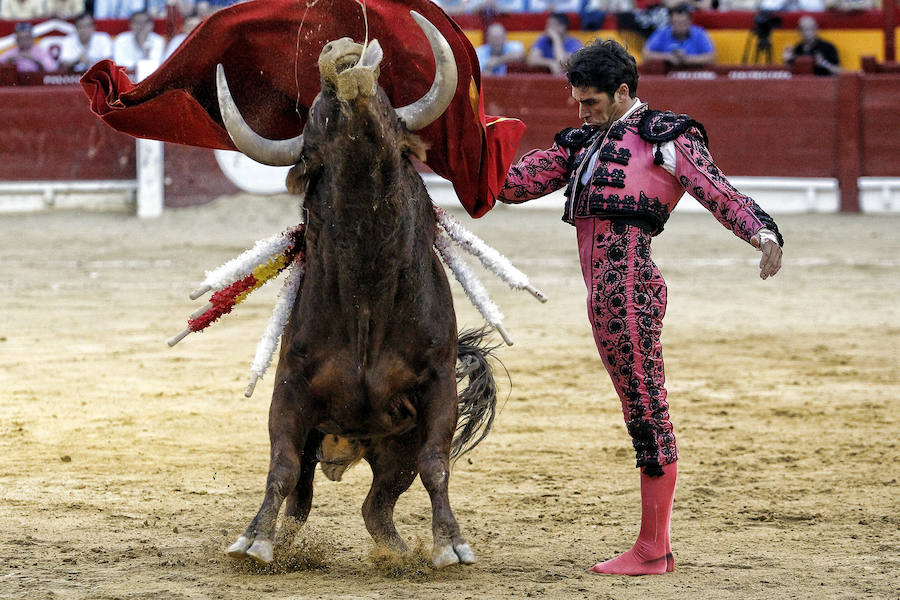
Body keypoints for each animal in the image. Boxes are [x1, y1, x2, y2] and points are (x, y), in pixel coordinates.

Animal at [216, 11, 500, 568]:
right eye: (321, 116)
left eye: (388, 107)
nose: (344, 56)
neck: (368, 285)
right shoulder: (289, 391)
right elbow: (281, 466)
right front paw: (253, 541)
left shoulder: (438, 387)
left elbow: (437, 464)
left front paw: (451, 545)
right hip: (324, 441)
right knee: (305, 495)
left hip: (394, 453)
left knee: (377, 506)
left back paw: (398, 553)